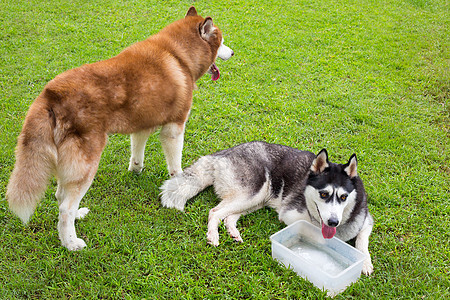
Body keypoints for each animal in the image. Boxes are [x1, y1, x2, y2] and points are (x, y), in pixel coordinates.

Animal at [5, 7, 234, 251]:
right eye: (221, 42)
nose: (232, 53)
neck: (178, 55)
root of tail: (51, 93)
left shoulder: (142, 124)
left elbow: (137, 154)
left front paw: (136, 171)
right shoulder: (174, 127)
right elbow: (176, 167)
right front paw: (181, 185)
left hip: (70, 164)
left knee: (60, 196)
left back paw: (78, 215)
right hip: (87, 165)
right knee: (65, 209)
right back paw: (71, 243)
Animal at [160, 141, 374, 274]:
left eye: (343, 197)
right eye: (323, 194)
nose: (333, 221)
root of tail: (221, 154)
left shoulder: (367, 220)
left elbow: (362, 241)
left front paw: (365, 262)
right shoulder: (290, 215)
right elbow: (315, 234)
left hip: (258, 198)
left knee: (229, 216)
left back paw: (232, 231)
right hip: (254, 192)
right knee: (215, 212)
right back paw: (213, 235)